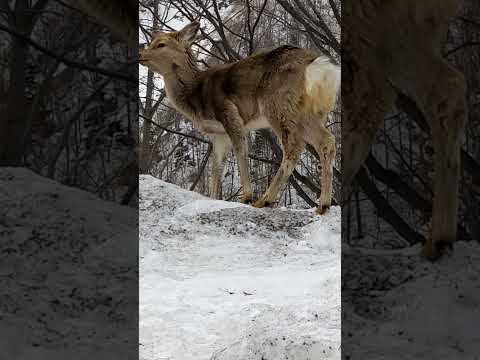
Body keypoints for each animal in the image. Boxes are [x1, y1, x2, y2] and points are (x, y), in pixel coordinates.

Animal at [139, 21, 342, 214]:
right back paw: (323, 205)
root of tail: (320, 67)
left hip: (277, 103)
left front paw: (247, 196)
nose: (140, 54)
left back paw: (264, 200)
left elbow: (240, 151)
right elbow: (216, 167)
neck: (196, 98)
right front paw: (213, 198)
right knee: (327, 140)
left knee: (294, 145)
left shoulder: (228, 112)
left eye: (161, 44)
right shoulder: (218, 134)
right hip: (309, 113)